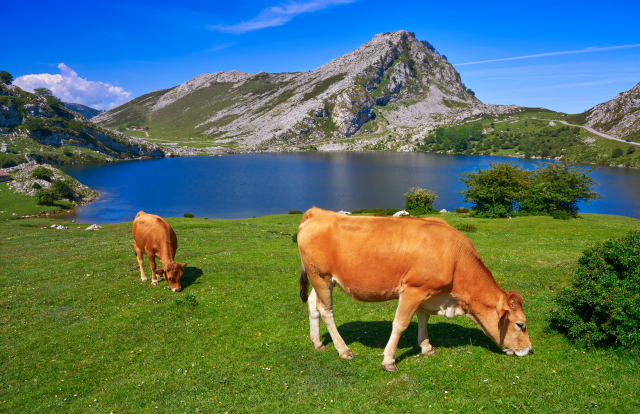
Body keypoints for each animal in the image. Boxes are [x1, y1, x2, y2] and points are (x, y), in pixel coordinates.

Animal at [298, 207, 532, 372]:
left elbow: (423, 320)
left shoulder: (427, 292)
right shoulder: (413, 290)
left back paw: (317, 342)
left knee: (312, 305)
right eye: (520, 324)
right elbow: (400, 324)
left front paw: (426, 347)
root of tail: (317, 212)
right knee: (326, 311)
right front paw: (389, 360)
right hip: (321, 277)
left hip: (320, 279)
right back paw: (343, 349)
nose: (530, 350)